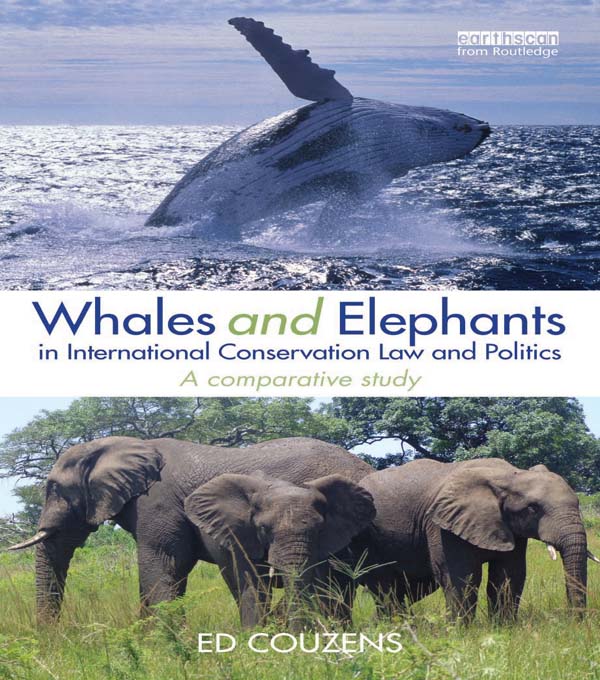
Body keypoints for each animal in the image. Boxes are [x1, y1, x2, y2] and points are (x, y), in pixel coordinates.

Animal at [183, 472, 375, 627]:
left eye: (320, 529)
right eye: (263, 528)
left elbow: (319, 584)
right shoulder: (242, 538)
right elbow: (254, 587)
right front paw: (255, 638)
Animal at [348, 458, 595, 622]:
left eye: (578, 503)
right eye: (533, 508)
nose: (575, 622)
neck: (509, 475)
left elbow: (508, 574)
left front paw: (504, 628)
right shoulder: (442, 524)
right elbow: (461, 575)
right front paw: (461, 632)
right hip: (368, 542)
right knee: (384, 585)